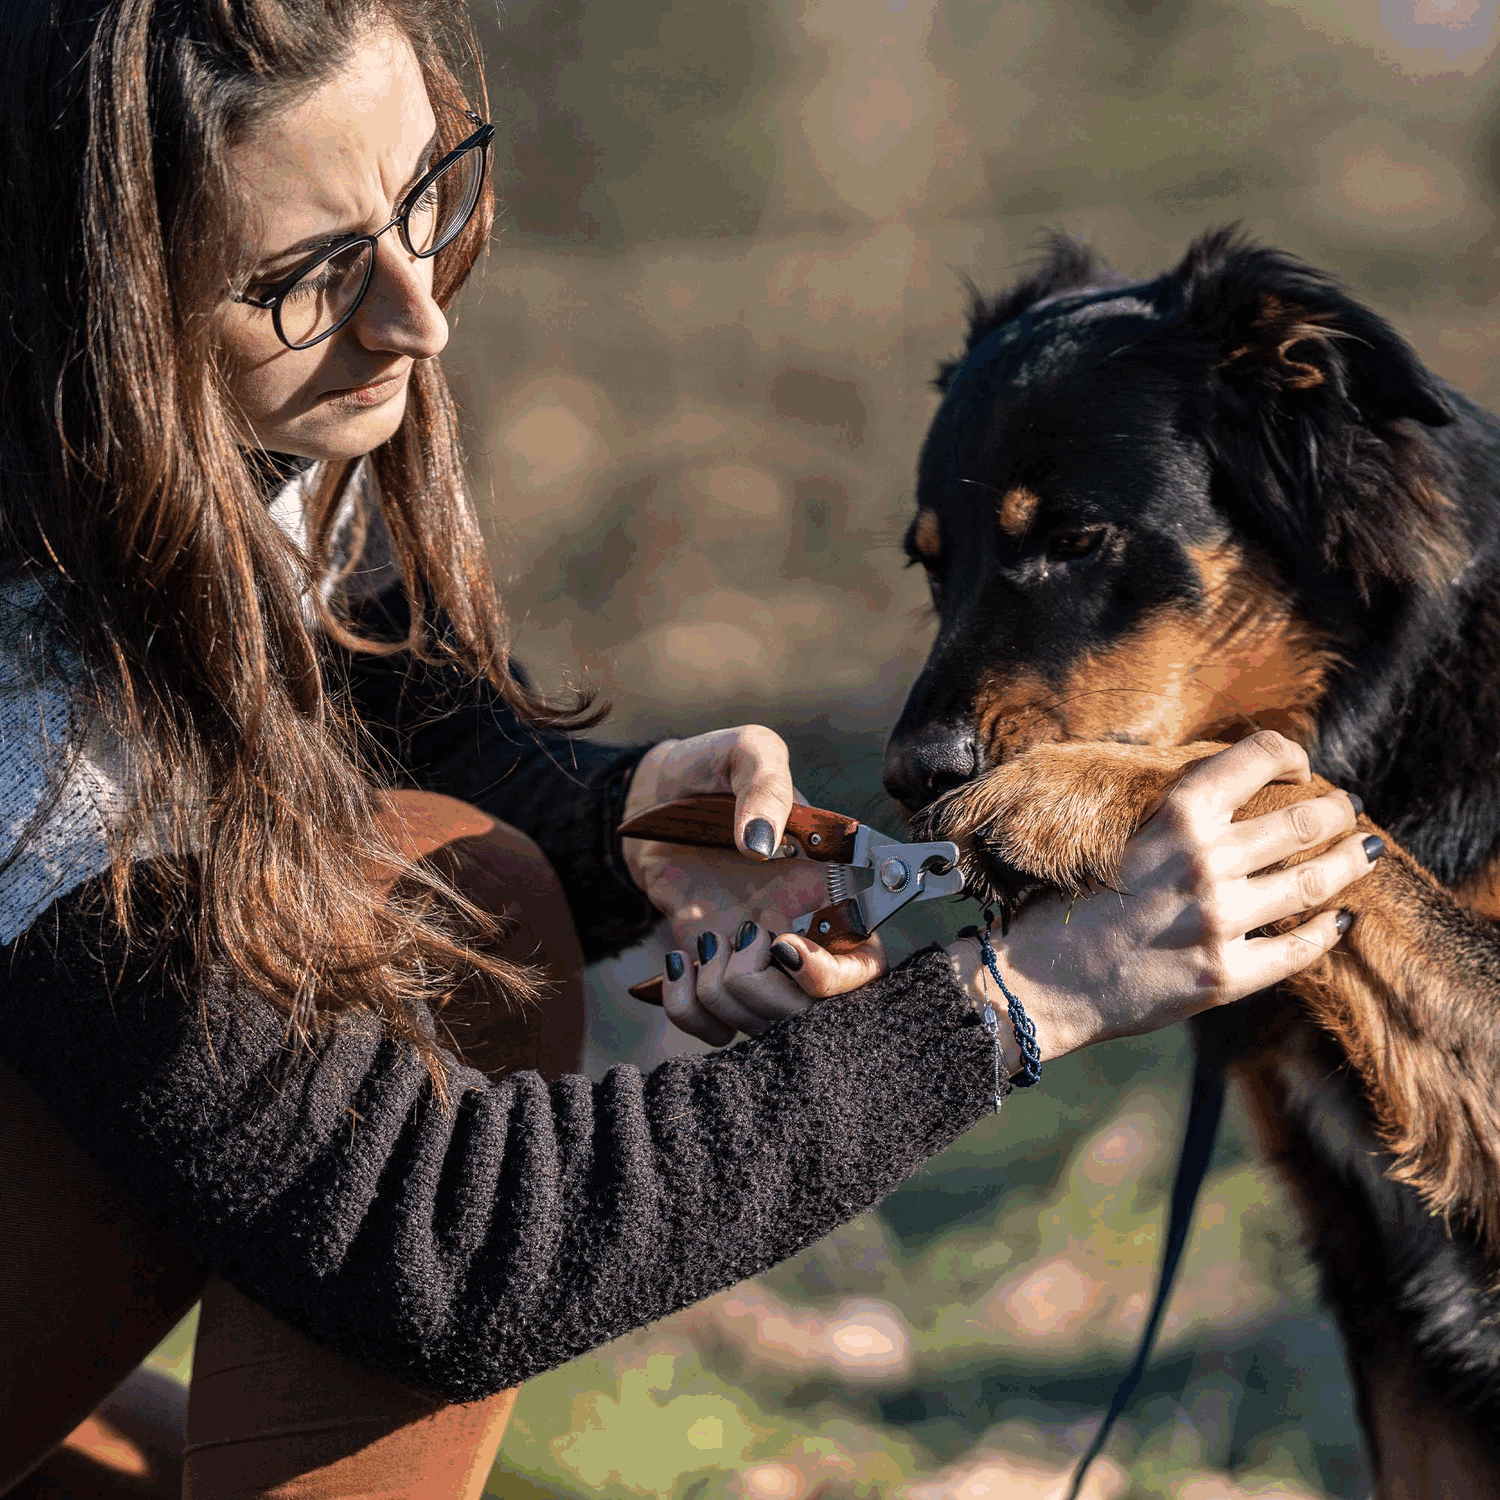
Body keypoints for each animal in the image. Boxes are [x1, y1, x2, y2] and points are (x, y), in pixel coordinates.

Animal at [882, 228, 1500, 1494]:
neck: (1393, 706)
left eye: (1074, 541)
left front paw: (1060, 797)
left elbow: (1296, 790)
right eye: (930, 564)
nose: (910, 775)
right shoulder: (1378, 1292)